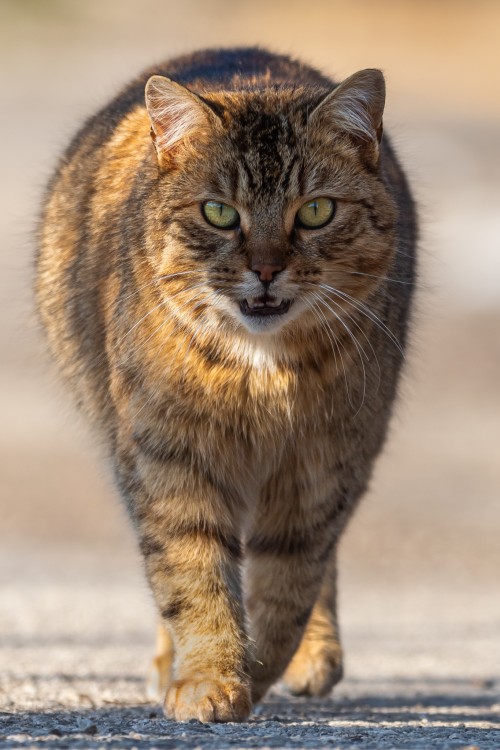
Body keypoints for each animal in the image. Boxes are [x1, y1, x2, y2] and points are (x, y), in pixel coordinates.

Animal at [36, 45, 418, 724]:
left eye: (315, 211)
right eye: (219, 212)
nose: (265, 269)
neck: (261, 374)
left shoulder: (325, 464)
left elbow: (290, 584)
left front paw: (260, 667)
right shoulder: (168, 457)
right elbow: (192, 573)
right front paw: (211, 678)